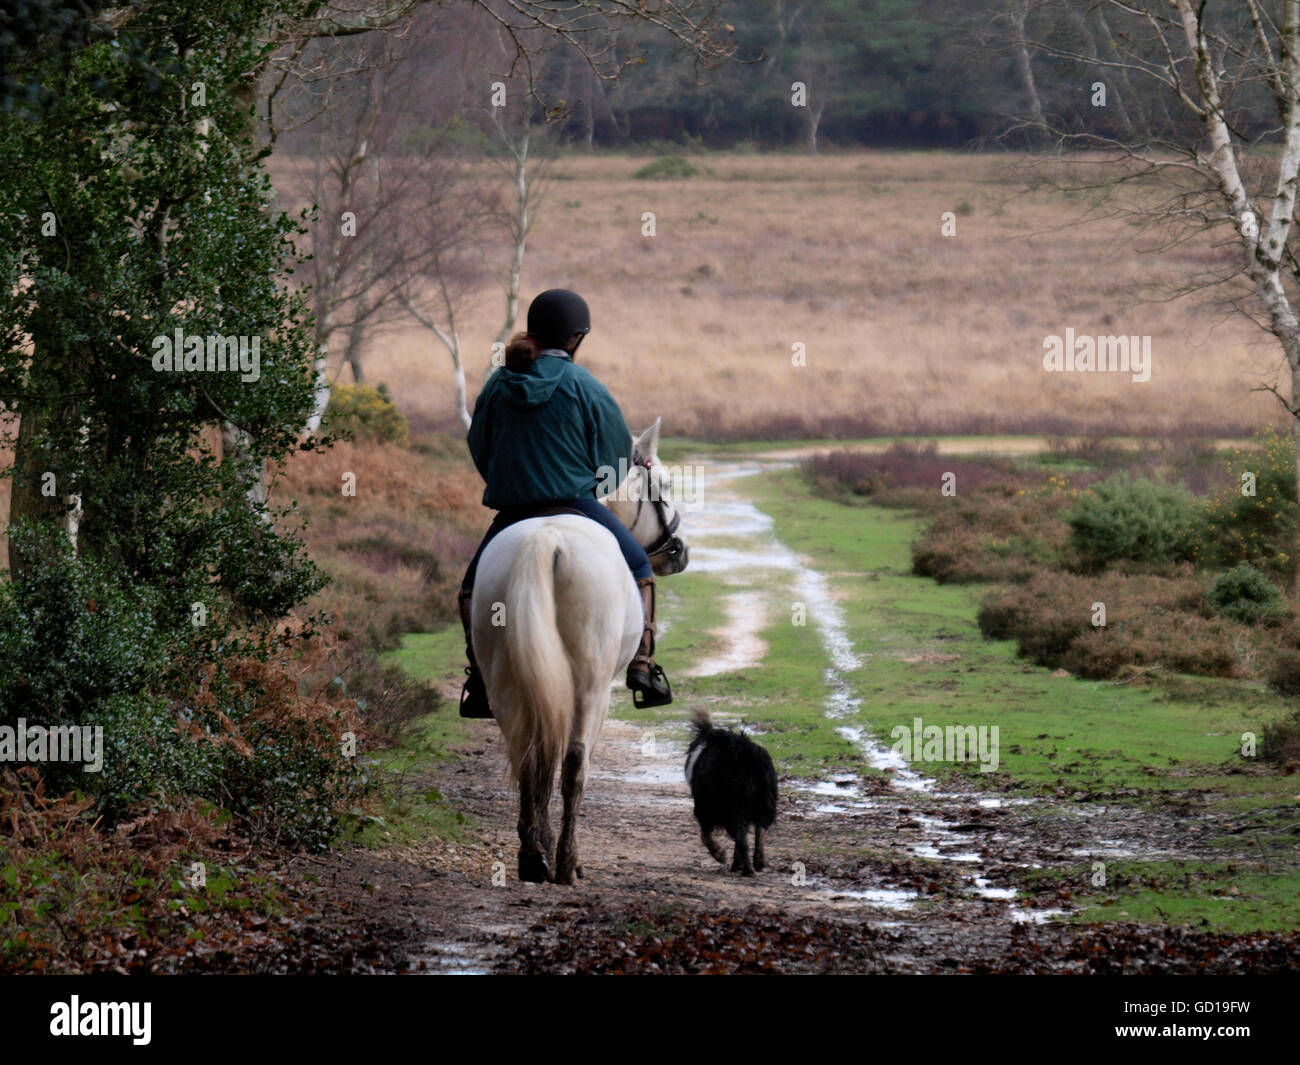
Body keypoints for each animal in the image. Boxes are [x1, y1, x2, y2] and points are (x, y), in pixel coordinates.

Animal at [470, 421, 691, 889]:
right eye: (664, 486)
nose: (680, 550)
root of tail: (545, 538)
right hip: (591, 685)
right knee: (573, 763)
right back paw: (567, 862)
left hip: (503, 681)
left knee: (527, 755)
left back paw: (533, 857)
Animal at [686, 707, 774, 873]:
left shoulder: (704, 808)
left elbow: (705, 836)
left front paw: (720, 855)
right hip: (762, 804)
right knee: (759, 831)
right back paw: (757, 862)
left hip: (732, 808)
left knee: (741, 838)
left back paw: (747, 870)